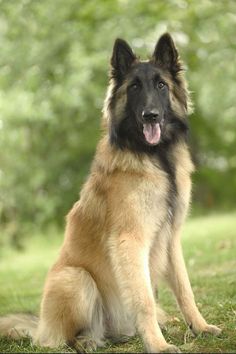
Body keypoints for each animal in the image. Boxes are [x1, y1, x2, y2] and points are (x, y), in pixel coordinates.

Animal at [0, 32, 221, 352]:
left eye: (161, 85)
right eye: (134, 87)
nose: (151, 115)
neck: (156, 157)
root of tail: (40, 326)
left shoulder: (171, 238)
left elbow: (185, 289)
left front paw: (200, 327)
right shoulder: (130, 241)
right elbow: (144, 300)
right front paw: (158, 345)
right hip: (76, 278)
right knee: (61, 338)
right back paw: (86, 341)